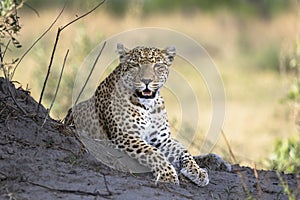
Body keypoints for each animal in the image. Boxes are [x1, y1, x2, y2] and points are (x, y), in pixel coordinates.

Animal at [64, 43, 231, 186]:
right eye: (135, 65)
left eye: (157, 65)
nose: (146, 81)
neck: (149, 106)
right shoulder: (126, 136)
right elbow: (153, 152)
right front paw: (167, 174)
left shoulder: (163, 140)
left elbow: (184, 152)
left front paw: (197, 172)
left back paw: (217, 161)